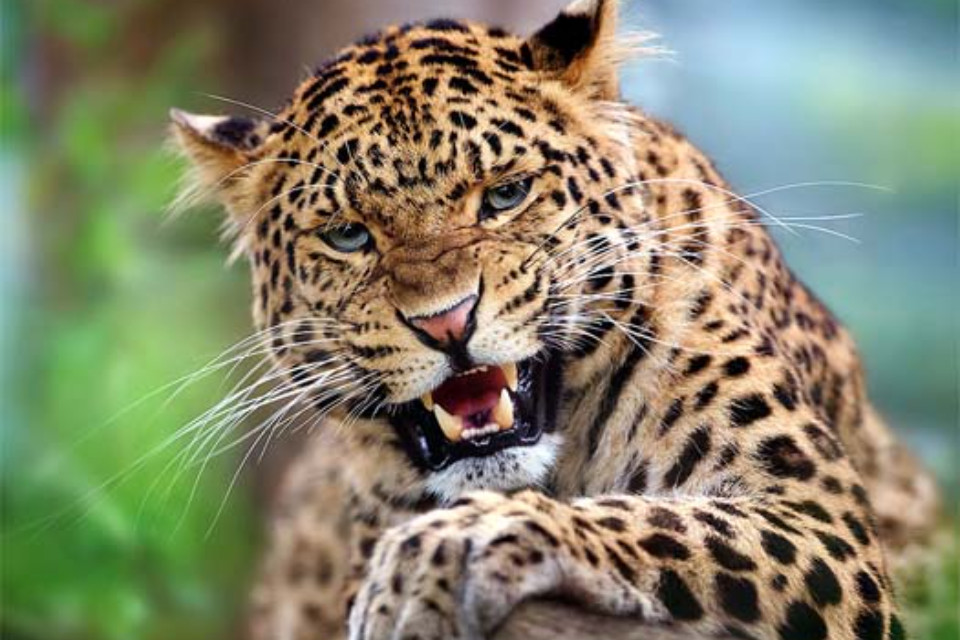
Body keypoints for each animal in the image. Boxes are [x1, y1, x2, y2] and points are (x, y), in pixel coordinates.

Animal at [170, 1, 942, 638]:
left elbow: (657, 517)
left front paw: (448, 548)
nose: (446, 323)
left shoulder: (821, 521)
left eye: (505, 195)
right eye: (349, 235)